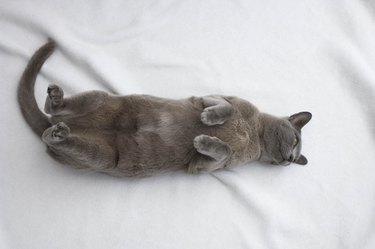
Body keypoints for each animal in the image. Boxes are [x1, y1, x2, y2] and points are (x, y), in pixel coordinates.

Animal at [16, 40, 312, 177]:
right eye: (295, 141)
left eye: (294, 158)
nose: (290, 159)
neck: (253, 134)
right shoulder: (217, 96)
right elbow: (225, 108)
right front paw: (208, 120)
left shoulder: (202, 167)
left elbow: (223, 150)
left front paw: (203, 140)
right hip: (99, 98)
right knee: (54, 111)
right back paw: (55, 99)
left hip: (101, 157)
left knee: (55, 131)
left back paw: (58, 130)